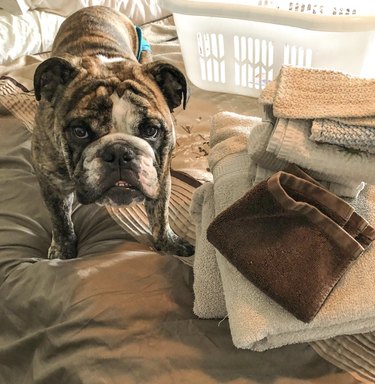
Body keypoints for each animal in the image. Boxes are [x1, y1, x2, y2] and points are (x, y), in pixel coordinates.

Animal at [31, 5, 195, 258]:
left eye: (151, 130)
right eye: (80, 132)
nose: (119, 153)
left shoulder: (160, 175)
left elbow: (160, 212)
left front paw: (168, 242)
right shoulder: (51, 181)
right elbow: (59, 218)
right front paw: (62, 249)